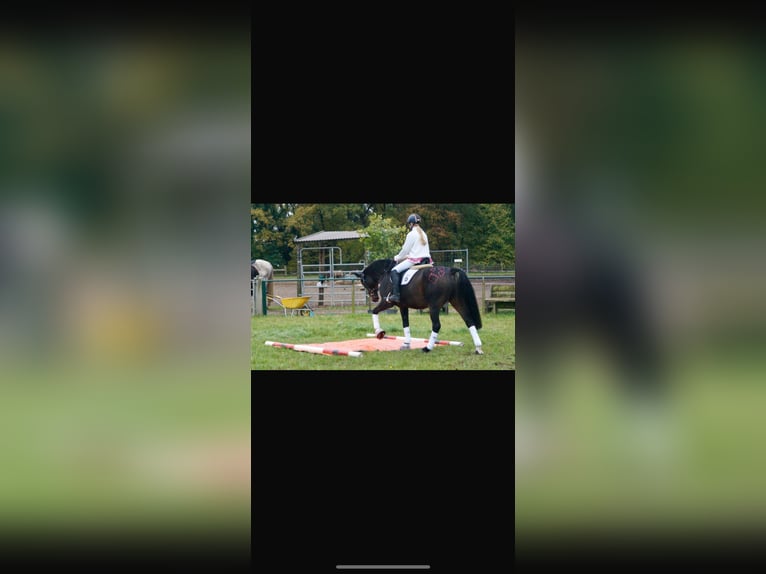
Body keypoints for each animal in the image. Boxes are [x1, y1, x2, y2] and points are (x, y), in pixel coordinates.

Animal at [352, 259, 484, 354]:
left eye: (363, 281)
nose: (374, 298)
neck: (386, 272)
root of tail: (451, 270)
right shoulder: (403, 306)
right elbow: (405, 324)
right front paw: (406, 344)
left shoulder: (388, 302)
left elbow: (374, 311)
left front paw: (379, 332)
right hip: (457, 301)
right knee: (469, 320)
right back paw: (478, 348)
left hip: (434, 306)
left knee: (436, 325)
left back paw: (428, 348)